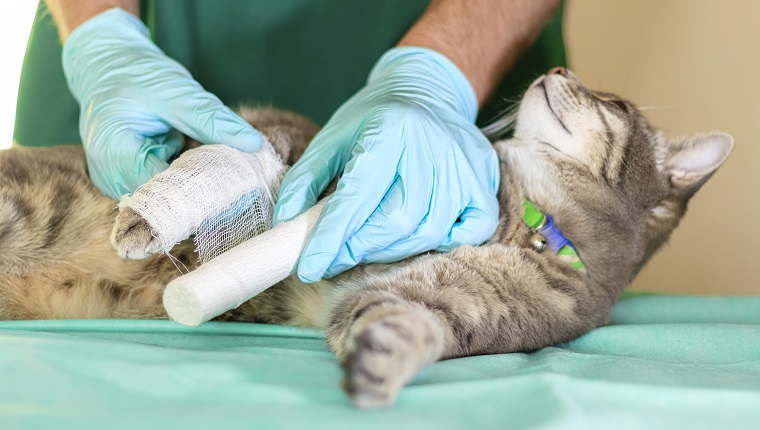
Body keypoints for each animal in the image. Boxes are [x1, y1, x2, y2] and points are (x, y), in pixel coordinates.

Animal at [0, 68, 732, 406]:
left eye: (614, 104)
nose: (555, 73)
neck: (519, 219)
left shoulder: (440, 304)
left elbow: (408, 324)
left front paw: (381, 366)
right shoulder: (304, 144)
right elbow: (255, 150)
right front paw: (150, 217)